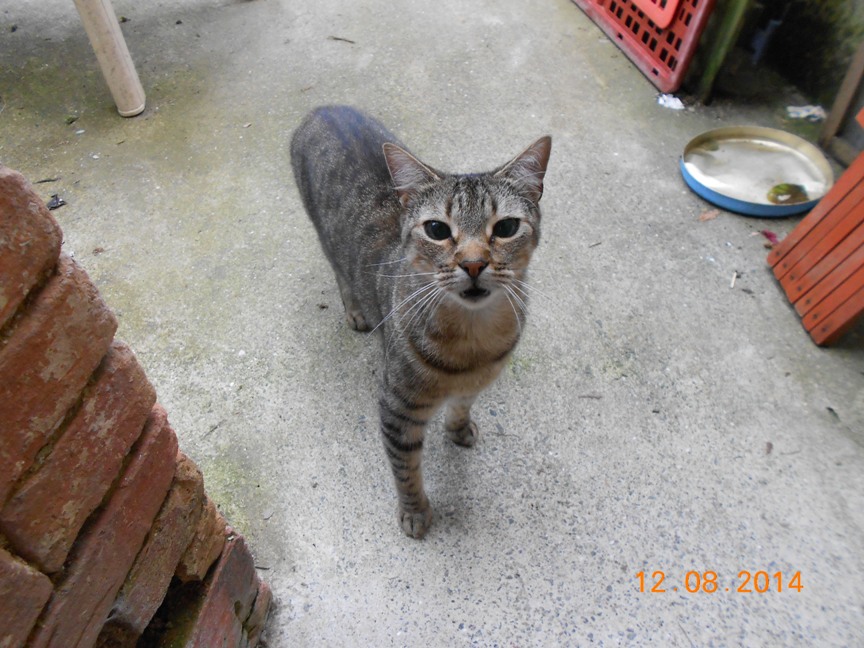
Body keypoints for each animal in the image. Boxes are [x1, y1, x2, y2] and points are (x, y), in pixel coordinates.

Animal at [290, 105, 551, 538]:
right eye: (436, 230)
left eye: (506, 228)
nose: (474, 263)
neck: (473, 342)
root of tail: (322, 108)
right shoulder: (396, 409)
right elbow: (406, 470)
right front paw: (415, 511)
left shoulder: (476, 382)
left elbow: (462, 405)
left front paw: (459, 428)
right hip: (324, 238)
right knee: (340, 273)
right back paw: (356, 310)